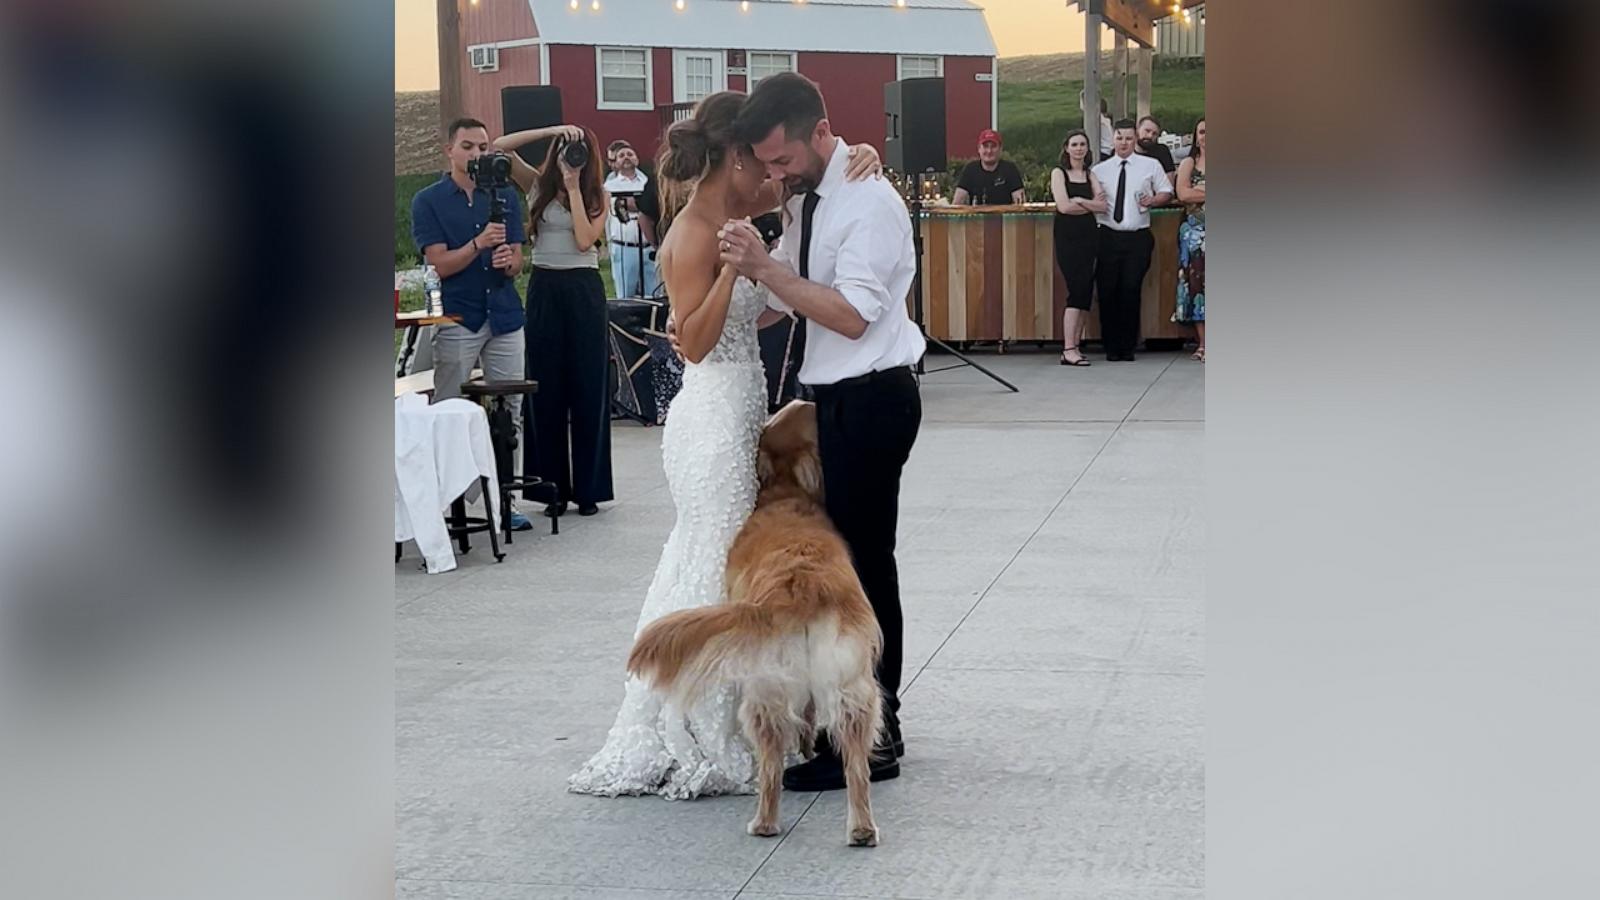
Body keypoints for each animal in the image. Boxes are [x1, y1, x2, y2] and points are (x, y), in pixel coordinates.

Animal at [624, 403, 883, 845]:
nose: (809, 396)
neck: (786, 491)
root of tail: (803, 585)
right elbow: (808, 719)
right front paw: (809, 750)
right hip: (850, 685)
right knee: (856, 767)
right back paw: (862, 827)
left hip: (764, 689)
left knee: (771, 767)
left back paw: (763, 821)